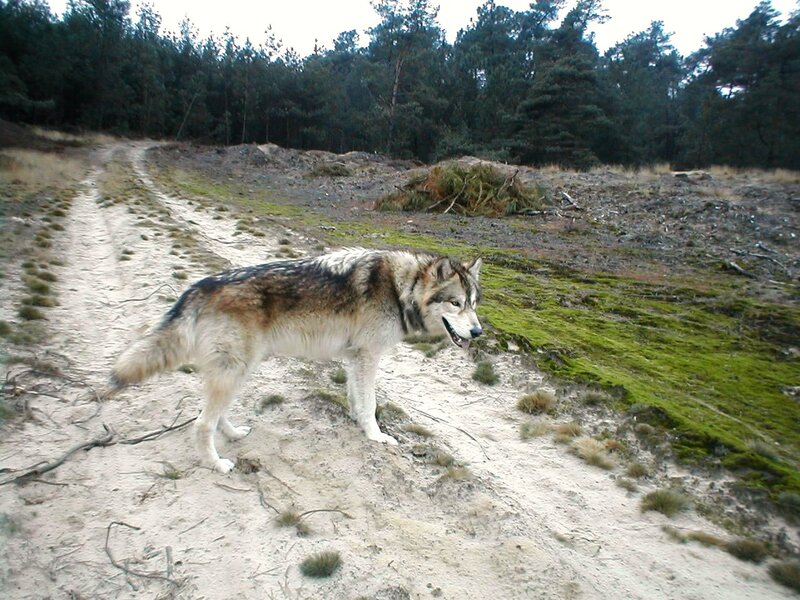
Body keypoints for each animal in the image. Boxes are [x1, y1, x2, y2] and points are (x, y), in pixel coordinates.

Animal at [110, 248, 483, 472]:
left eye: (474, 303)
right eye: (456, 303)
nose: (478, 331)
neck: (400, 288)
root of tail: (200, 286)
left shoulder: (354, 358)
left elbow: (356, 397)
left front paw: (356, 422)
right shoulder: (368, 356)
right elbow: (370, 403)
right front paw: (376, 436)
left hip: (238, 371)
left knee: (216, 417)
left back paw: (234, 434)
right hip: (234, 371)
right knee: (202, 424)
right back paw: (217, 465)